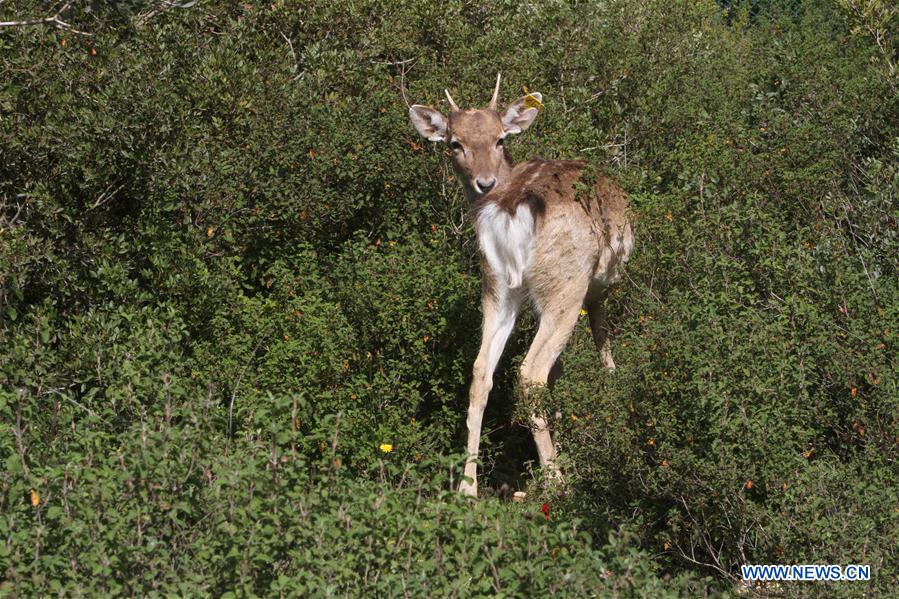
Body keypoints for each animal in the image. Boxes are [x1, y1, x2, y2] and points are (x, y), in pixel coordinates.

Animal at [410, 75, 632, 496]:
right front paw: (613, 387)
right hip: (565, 283)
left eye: (500, 139)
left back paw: (468, 486)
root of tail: (510, 208)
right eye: (455, 143)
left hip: (496, 286)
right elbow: (602, 337)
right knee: (531, 374)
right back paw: (557, 481)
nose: (485, 182)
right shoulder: (599, 285)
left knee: (481, 370)